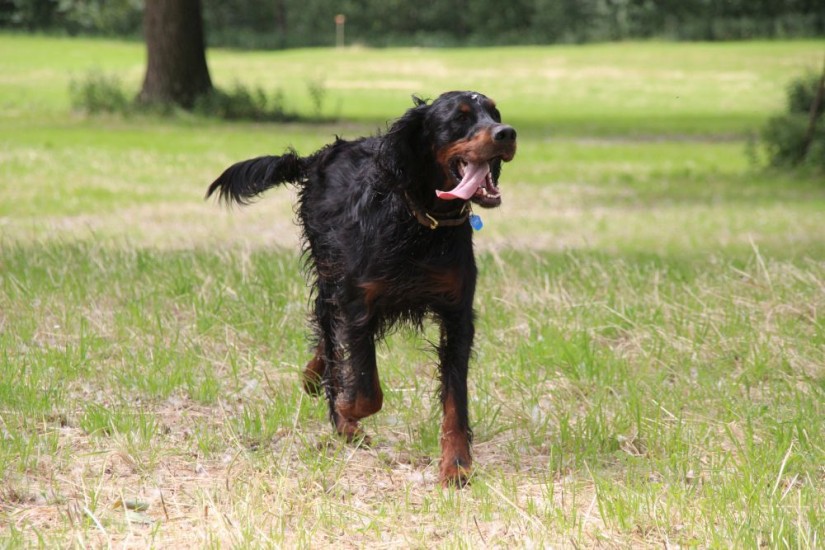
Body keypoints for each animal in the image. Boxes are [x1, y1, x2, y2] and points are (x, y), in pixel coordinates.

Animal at [206, 91, 517, 486]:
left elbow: (454, 397)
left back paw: (313, 377)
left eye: (495, 113)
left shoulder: (457, 314)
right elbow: (367, 390)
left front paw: (457, 463)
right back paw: (338, 415)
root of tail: (319, 156)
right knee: (329, 332)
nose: (507, 133)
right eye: (460, 118)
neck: (420, 223)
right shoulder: (358, 301)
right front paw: (345, 411)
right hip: (329, 275)